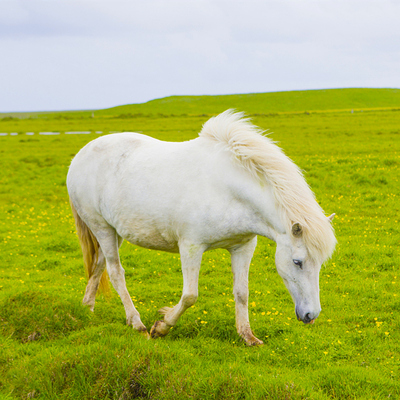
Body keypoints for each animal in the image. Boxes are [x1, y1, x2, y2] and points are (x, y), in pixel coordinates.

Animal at [67, 111, 336, 346]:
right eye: (298, 262)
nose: (311, 315)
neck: (228, 189)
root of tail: (81, 154)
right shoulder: (191, 247)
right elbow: (190, 296)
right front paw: (161, 326)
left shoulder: (243, 247)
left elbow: (242, 292)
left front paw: (247, 336)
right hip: (101, 227)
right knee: (115, 272)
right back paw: (136, 323)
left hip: (114, 232)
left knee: (99, 265)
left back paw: (87, 307)